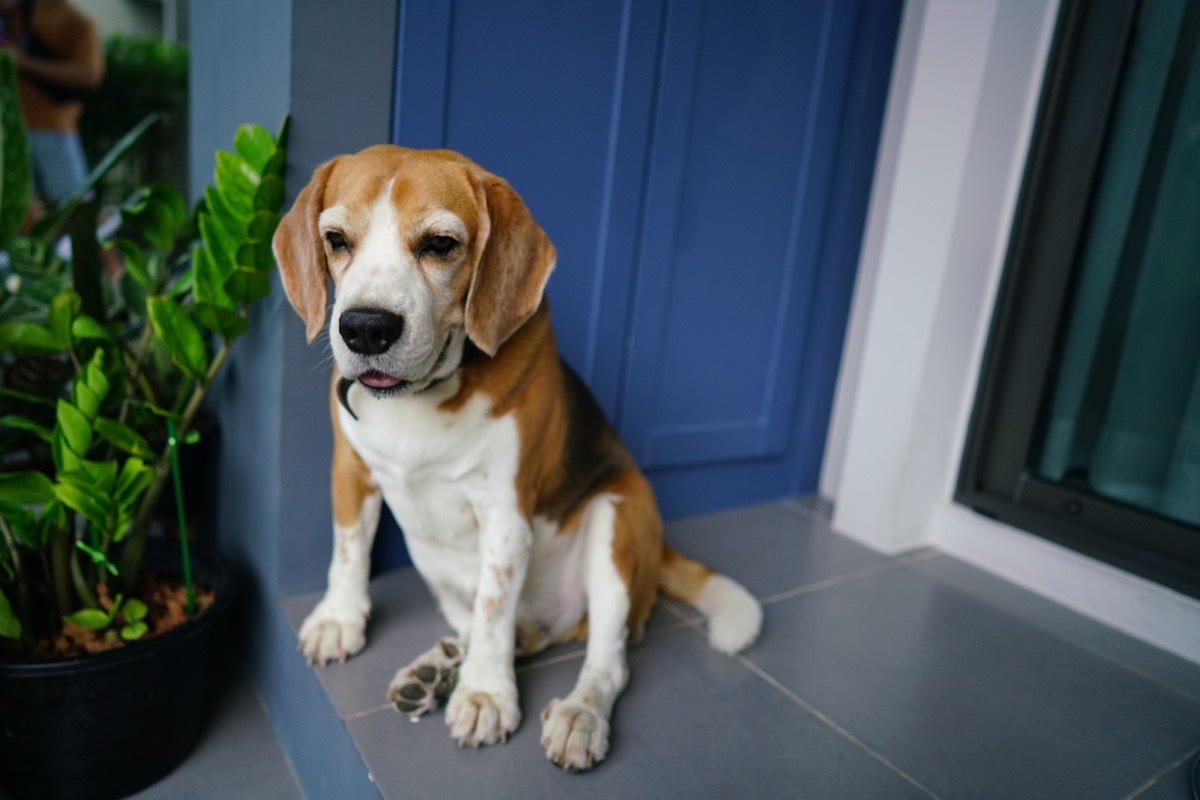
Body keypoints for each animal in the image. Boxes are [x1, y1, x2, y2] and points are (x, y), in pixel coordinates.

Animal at [274, 146, 758, 772]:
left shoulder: (506, 516)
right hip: (433, 563)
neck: (424, 395)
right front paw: (340, 617)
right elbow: (349, 550)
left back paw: (577, 715)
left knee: (606, 660)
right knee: (516, 634)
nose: (365, 328)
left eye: (440, 244)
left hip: (616, 524)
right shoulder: (350, 472)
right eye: (335, 239)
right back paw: (438, 669)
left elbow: (494, 605)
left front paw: (484, 693)